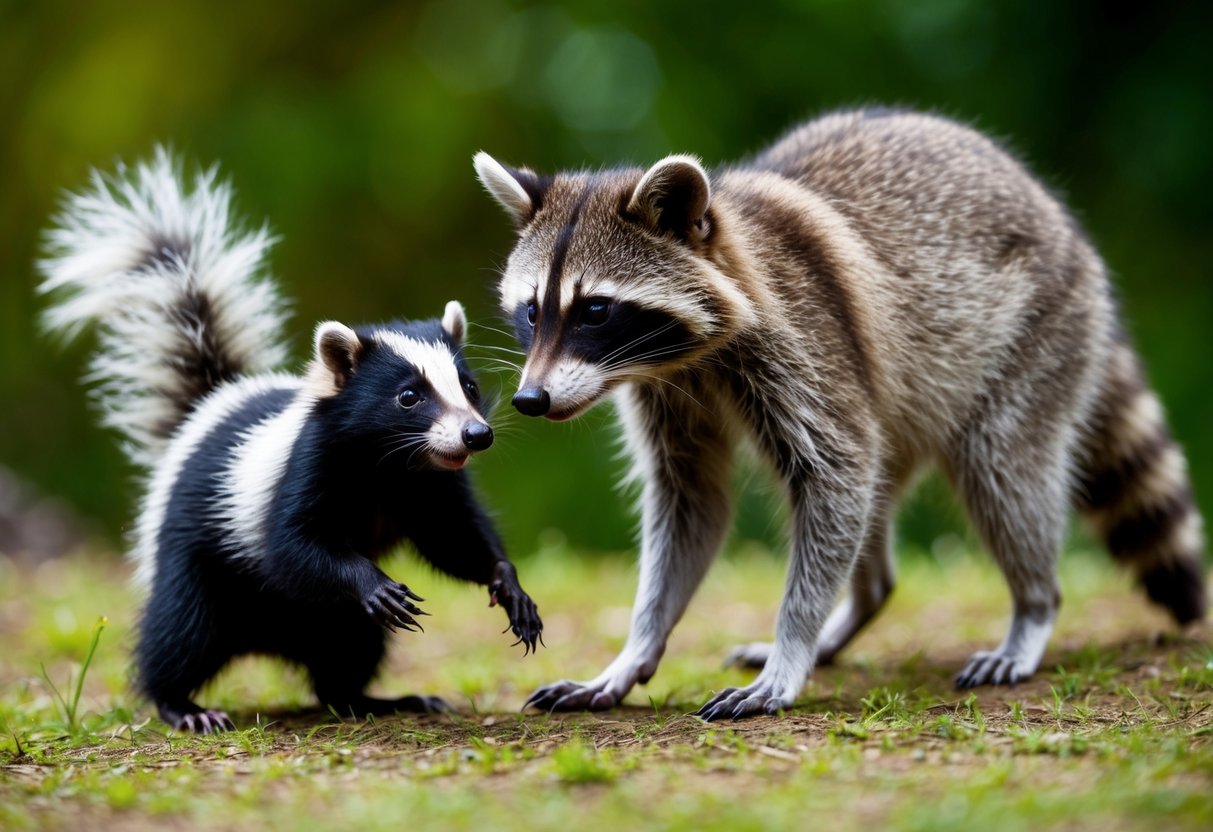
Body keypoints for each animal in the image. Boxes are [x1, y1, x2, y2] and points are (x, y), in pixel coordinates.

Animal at [473, 108, 1206, 720]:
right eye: (532, 310)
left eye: (595, 309)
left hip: (1034, 335)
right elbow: (693, 502)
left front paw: (791, 642)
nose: (530, 400)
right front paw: (634, 650)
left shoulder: (806, 338)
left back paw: (1032, 605)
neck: (687, 352)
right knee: (877, 500)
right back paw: (862, 601)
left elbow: (835, 473)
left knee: (1002, 473)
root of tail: (1066, 229)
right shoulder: (667, 390)